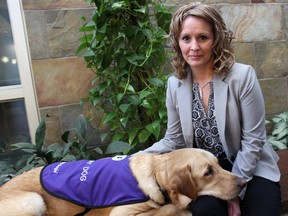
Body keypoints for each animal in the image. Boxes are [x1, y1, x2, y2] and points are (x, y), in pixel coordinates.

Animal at [0, 148, 245, 216]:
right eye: (208, 173)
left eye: (219, 164)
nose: (244, 183)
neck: (155, 175)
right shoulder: (122, 214)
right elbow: (165, 210)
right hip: (33, 201)